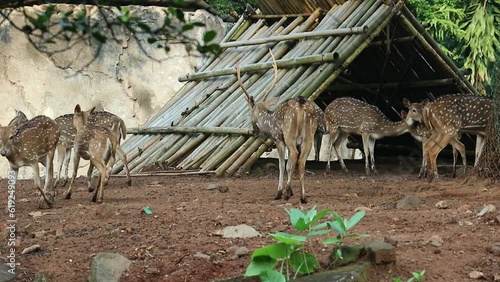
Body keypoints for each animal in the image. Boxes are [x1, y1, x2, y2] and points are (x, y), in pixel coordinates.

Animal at [236, 50, 318, 204]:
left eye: (249, 112)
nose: (254, 130)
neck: (270, 123)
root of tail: (301, 104)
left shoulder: (279, 138)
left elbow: (282, 165)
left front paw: (280, 192)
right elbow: (290, 164)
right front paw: (290, 191)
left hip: (290, 134)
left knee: (295, 158)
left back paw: (285, 194)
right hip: (309, 136)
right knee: (302, 162)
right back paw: (303, 197)